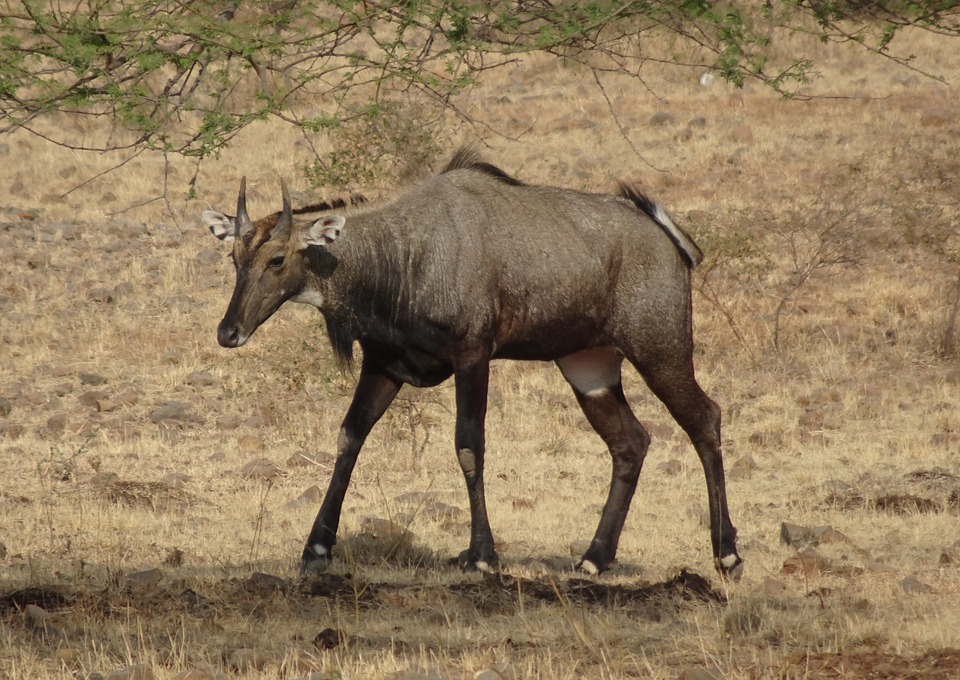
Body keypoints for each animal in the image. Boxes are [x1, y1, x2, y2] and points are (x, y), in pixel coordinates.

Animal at [202, 150, 744, 580]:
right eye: (234, 258)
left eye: (276, 259)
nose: (228, 333)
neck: (403, 254)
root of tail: (671, 241)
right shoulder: (384, 365)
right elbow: (348, 439)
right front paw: (316, 548)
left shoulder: (472, 355)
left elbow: (468, 446)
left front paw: (481, 553)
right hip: (588, 366)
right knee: (630, 442)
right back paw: (594, 558)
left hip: (661, 350)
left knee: (705, 420)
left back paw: (727, 555)